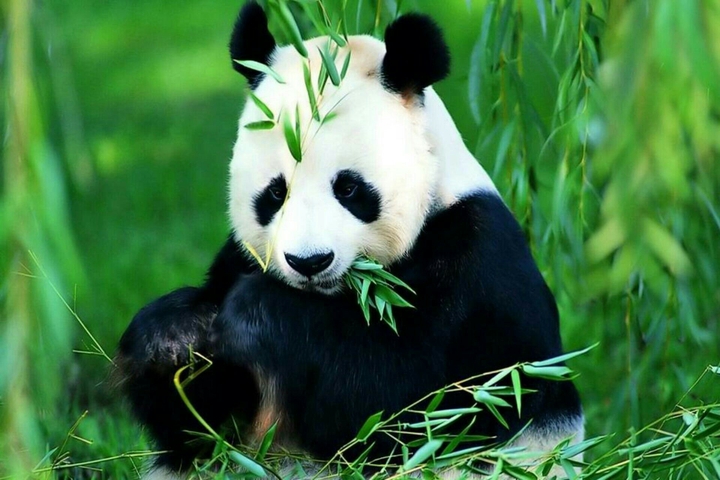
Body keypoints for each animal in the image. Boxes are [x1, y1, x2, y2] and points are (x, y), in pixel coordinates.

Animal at [115, 2, 584, 478]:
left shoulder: (479, 266)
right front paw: (175, 336)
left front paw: (257, 314)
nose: (309, 262)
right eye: (276, 193)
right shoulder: (240, 257)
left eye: (349, 189)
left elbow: (408, 401)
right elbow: (203, 429)